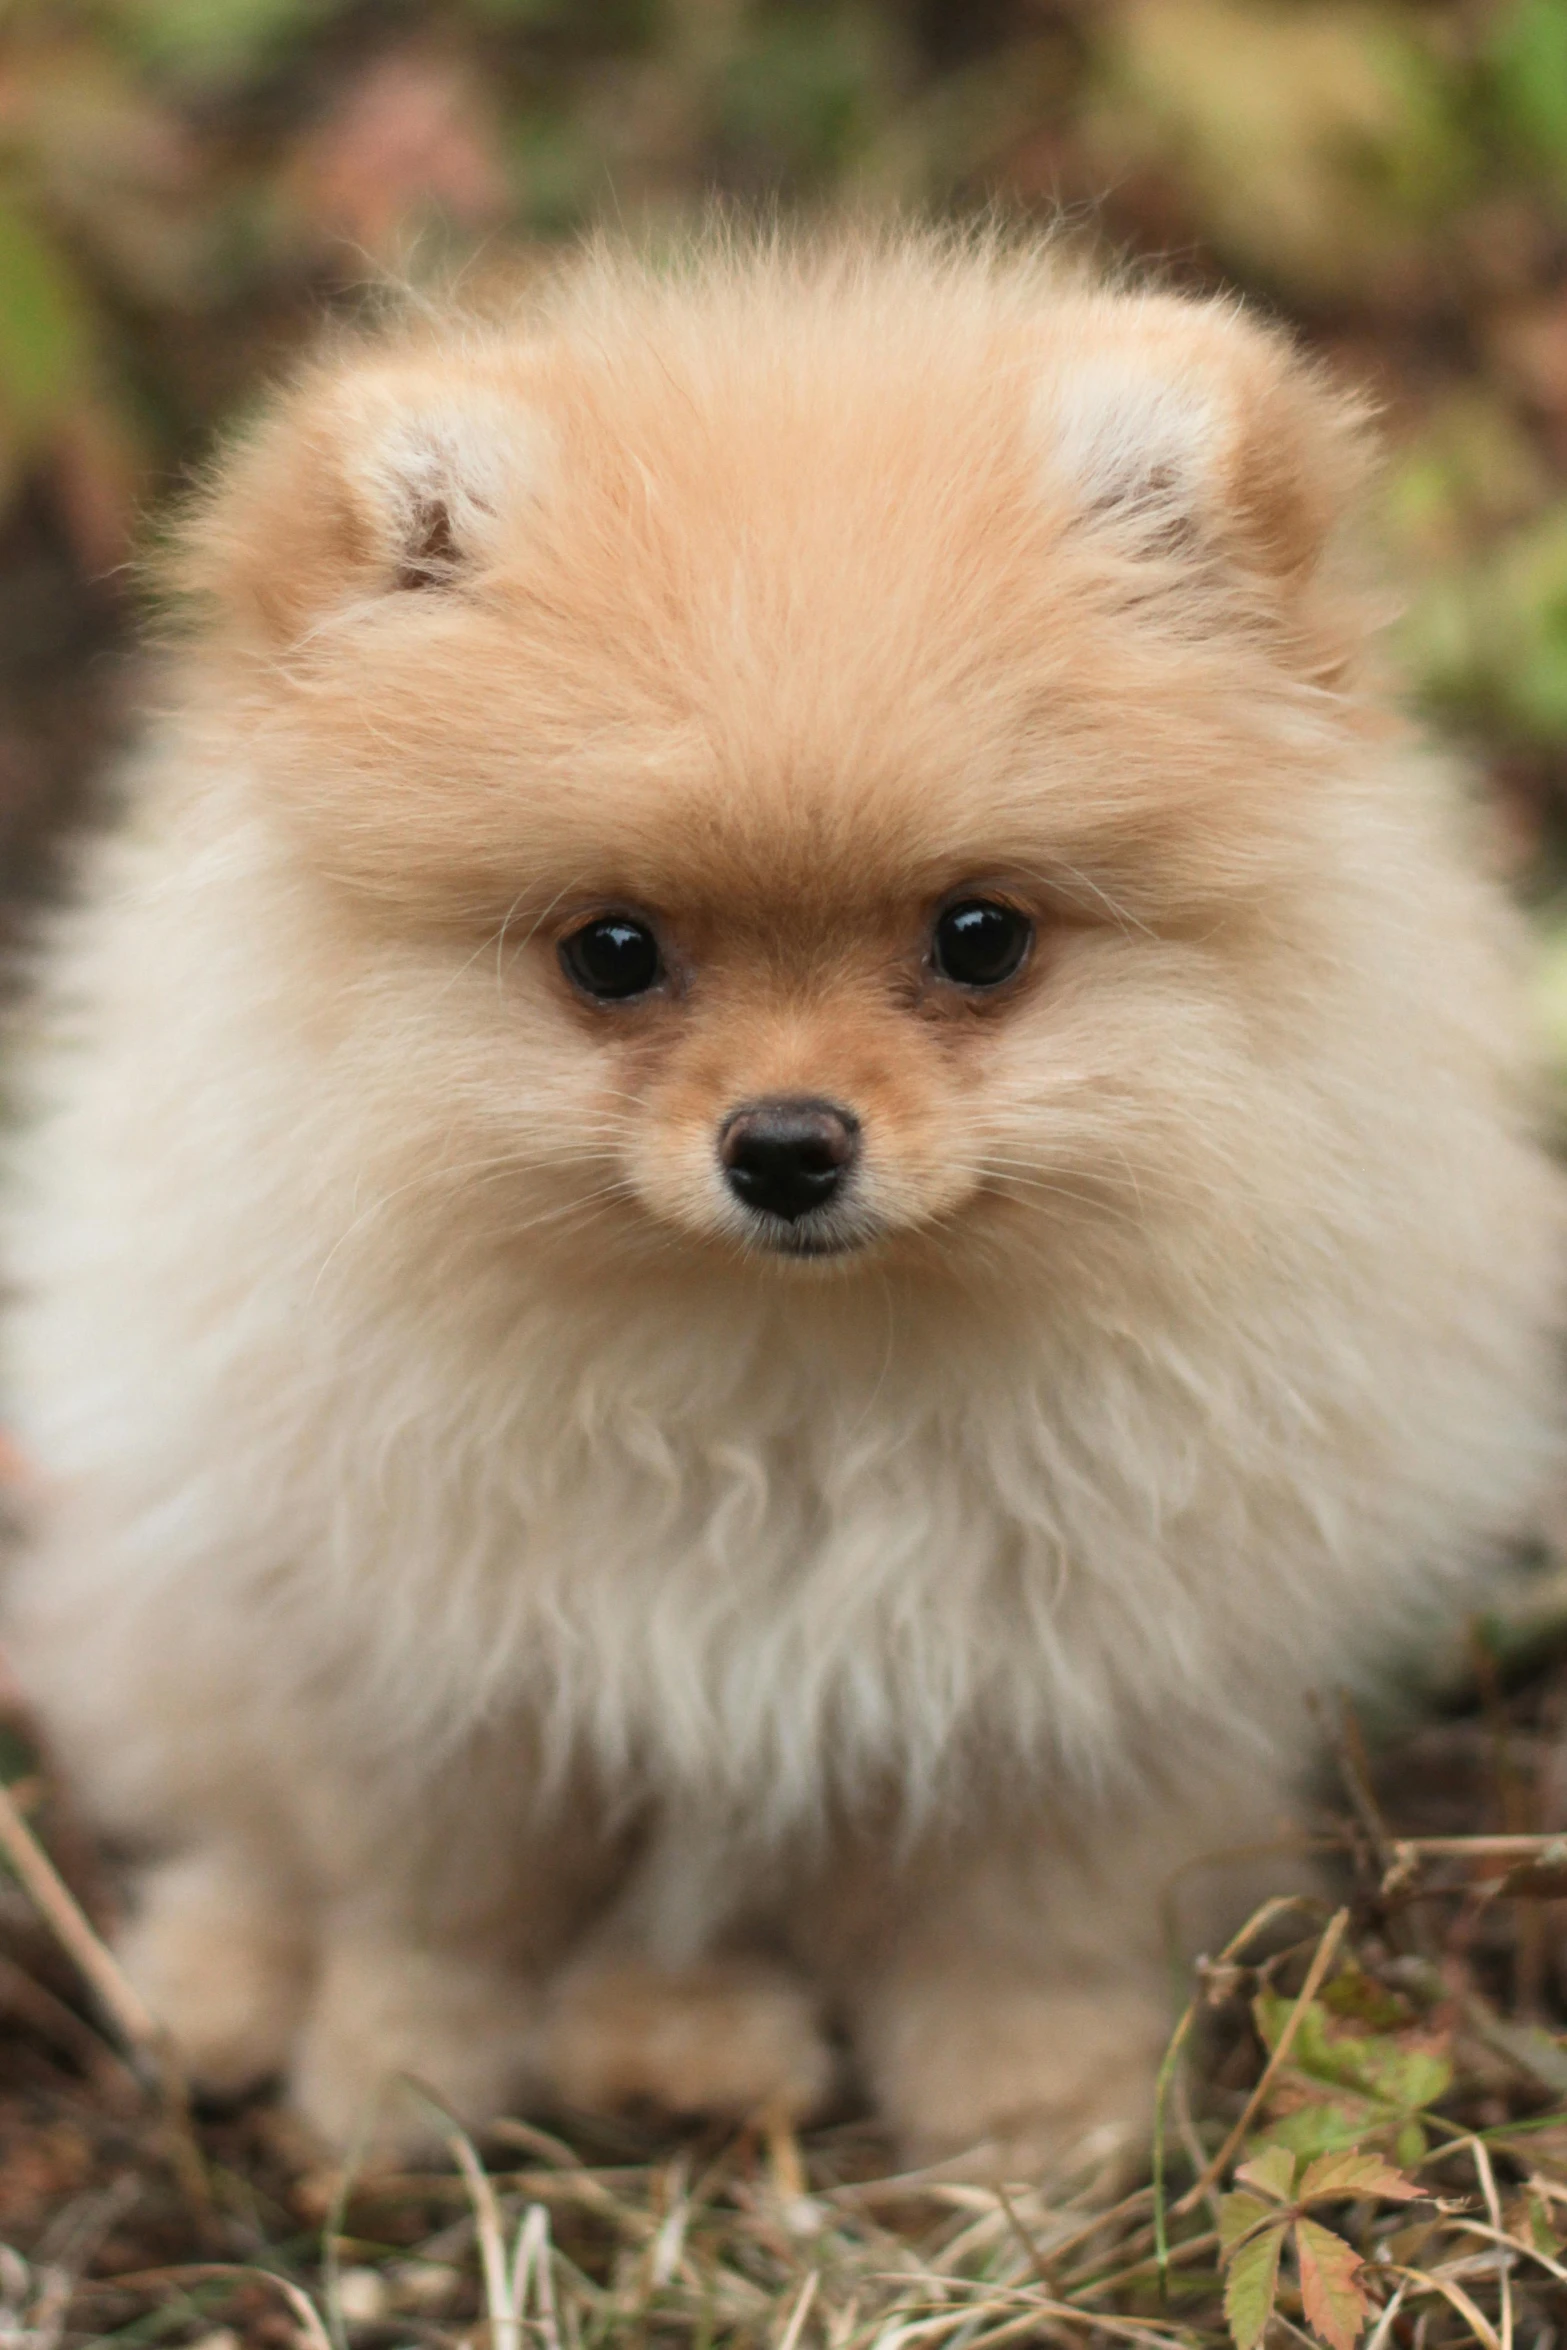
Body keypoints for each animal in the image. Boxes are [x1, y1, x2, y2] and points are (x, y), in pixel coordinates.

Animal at [6, 229, 1559, 2171]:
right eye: (611, 952)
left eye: (978, 937)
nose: (788, 1143)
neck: (781, 1380)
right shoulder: (421, 1679)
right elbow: (430, 1910)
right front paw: (392, 2088)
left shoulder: (1068, 1691)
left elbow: (1019, 1926)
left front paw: (1034, 2125)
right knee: (230, 1820)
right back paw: (224, 1981)